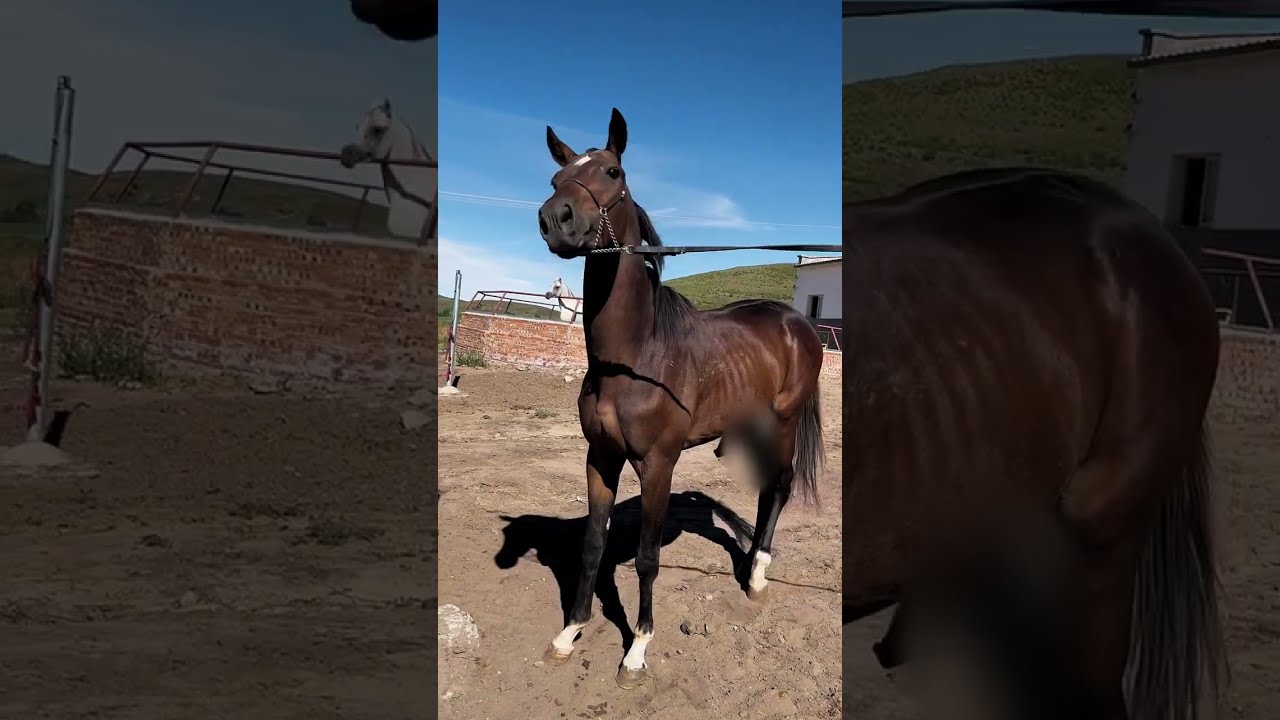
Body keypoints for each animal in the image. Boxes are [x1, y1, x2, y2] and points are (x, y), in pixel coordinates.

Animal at [534, 108, 828, 689]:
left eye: (612, 172)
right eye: (556, 179)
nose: (555, 218)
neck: (634, 358)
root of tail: (797, 322)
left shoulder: (657, 465)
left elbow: (647, 557)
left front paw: (637, 649)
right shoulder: (600, 457)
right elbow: (593, 546)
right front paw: (569, 632)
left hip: (784, 423)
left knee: (780, 487)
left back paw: (758, 576)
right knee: (764, 492)